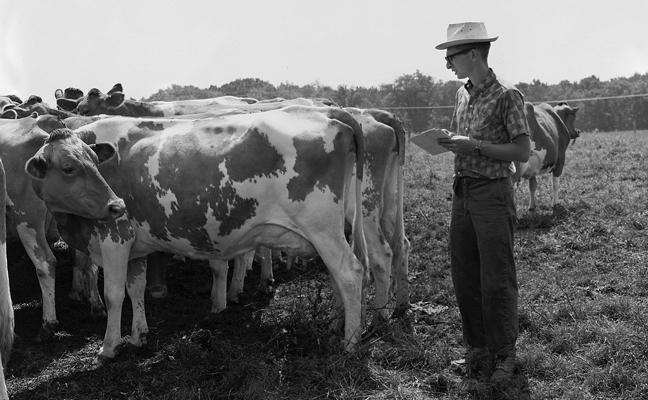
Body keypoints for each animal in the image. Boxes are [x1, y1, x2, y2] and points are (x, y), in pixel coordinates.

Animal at [0, 116, 123, 342]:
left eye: (96, 160)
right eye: (68, 168)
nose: (116, 205)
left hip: (27, 220)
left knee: (46, 263)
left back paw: (48, 324)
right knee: (88, 260)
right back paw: (96, 307)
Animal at [32, 106, 369, 363]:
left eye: (91, 161)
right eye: (68, 167)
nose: (116, 205)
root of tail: (326, 111)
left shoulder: (115, 237)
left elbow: (114, 294)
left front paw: (108, 348)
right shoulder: (134, 246)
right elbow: (136, 289)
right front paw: (139, 336)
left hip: (322, 228)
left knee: (350, 273)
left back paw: (350, 342)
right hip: (331, 231)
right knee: (338, 277)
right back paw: (335, 327)